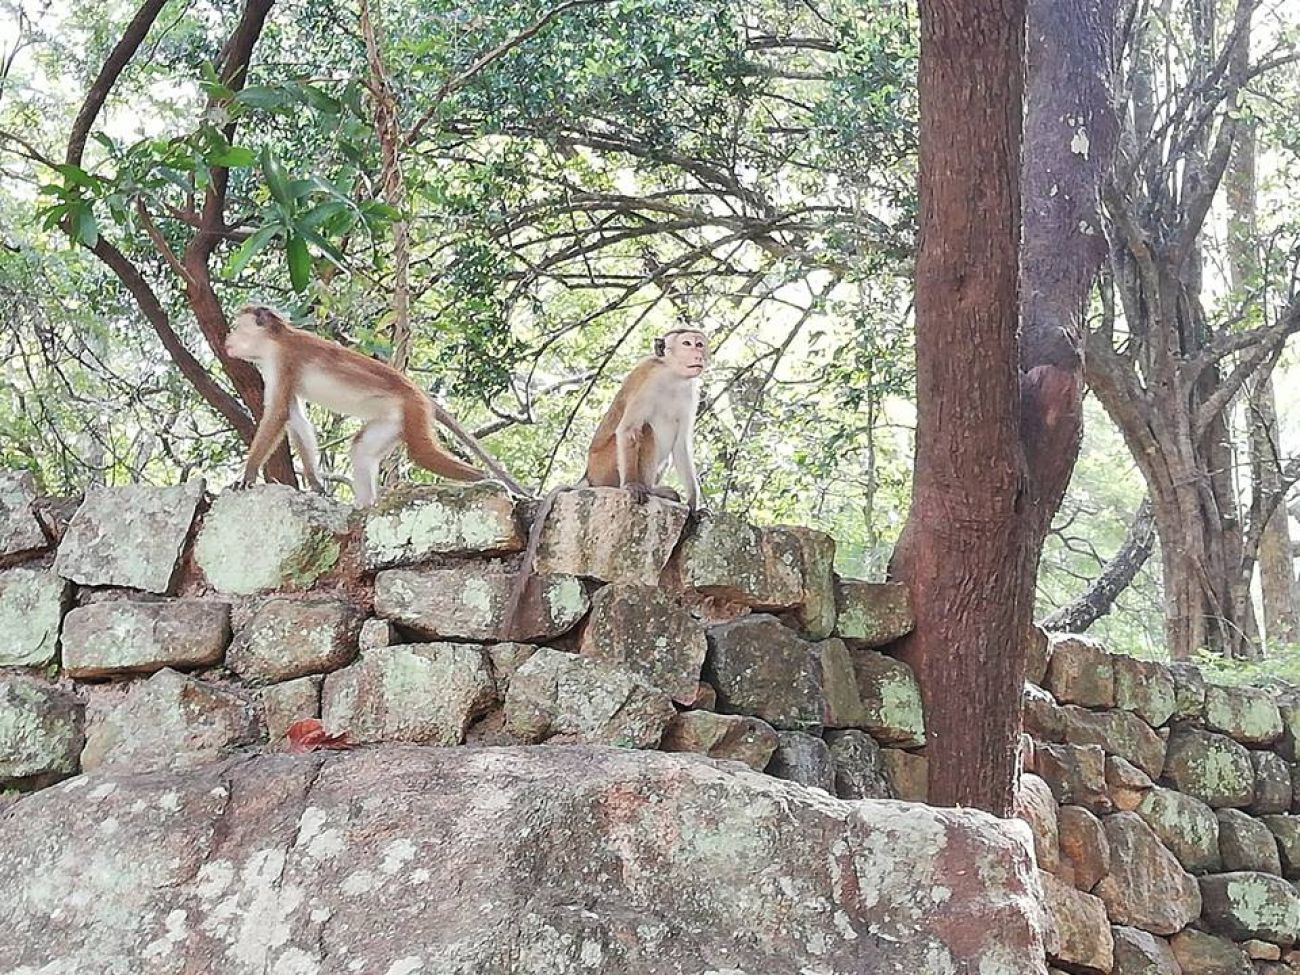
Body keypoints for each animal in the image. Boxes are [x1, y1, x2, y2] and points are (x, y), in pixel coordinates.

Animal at [225, 304, 520, 507]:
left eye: (236, 328)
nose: (227, 340)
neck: (274, 341)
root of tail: (419, 393)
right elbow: (295, 417)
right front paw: (316, 484)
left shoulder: (284, 360)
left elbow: (278, 413)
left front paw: (247, 475)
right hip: (395, 419)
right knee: (361, 449)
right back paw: (366, 507)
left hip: (413, 408)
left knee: (422, 453)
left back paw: (483, 479)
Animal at [501, 328, 709, 638]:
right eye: (687, 343)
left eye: (699, 343)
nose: (699, 353)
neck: (673, 375)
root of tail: (589, 474)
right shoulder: (650, 381)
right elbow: (629, 428)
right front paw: (633, 487)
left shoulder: (689, 392)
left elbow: (682, 445)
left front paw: (695, 503)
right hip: (606, 466)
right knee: (645, 429)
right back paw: (646, 488)